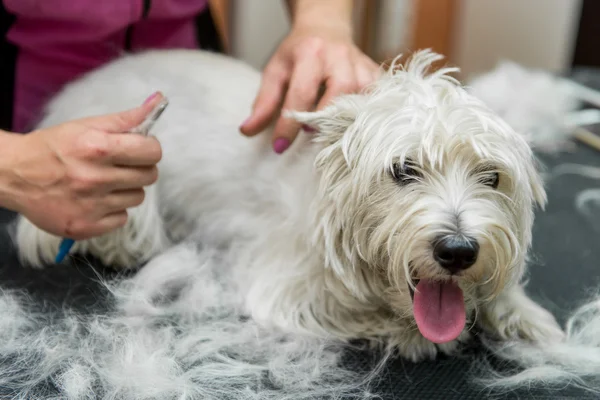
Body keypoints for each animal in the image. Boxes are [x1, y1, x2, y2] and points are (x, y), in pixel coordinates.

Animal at [14, 49, 568, 362]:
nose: (458, 250)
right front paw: (415, 335)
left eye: (491, 177)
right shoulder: (281, 285)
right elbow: (353, 314)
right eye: (403, 170)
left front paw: (525, 316)